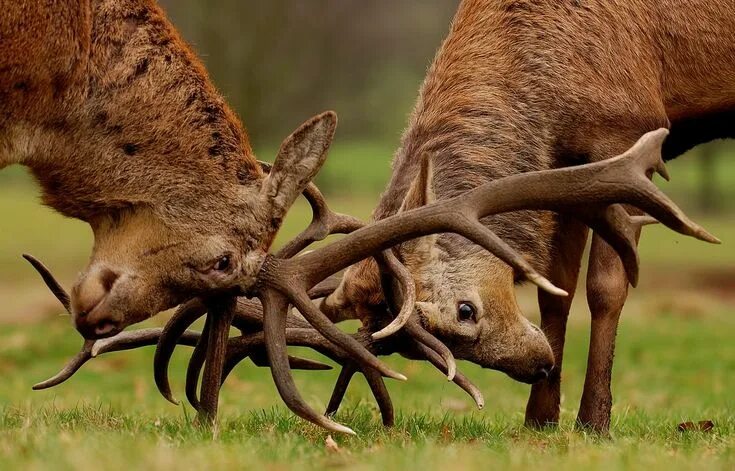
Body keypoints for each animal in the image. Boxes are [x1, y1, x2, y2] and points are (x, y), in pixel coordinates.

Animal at [318, 0, 735, 436]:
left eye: (465, 310)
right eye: (409, 352)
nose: (540, 365)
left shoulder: (631, 127)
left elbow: (606, 286)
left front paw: (594, 420)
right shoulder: (568, 166)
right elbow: (557, 289)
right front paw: (541, 418)